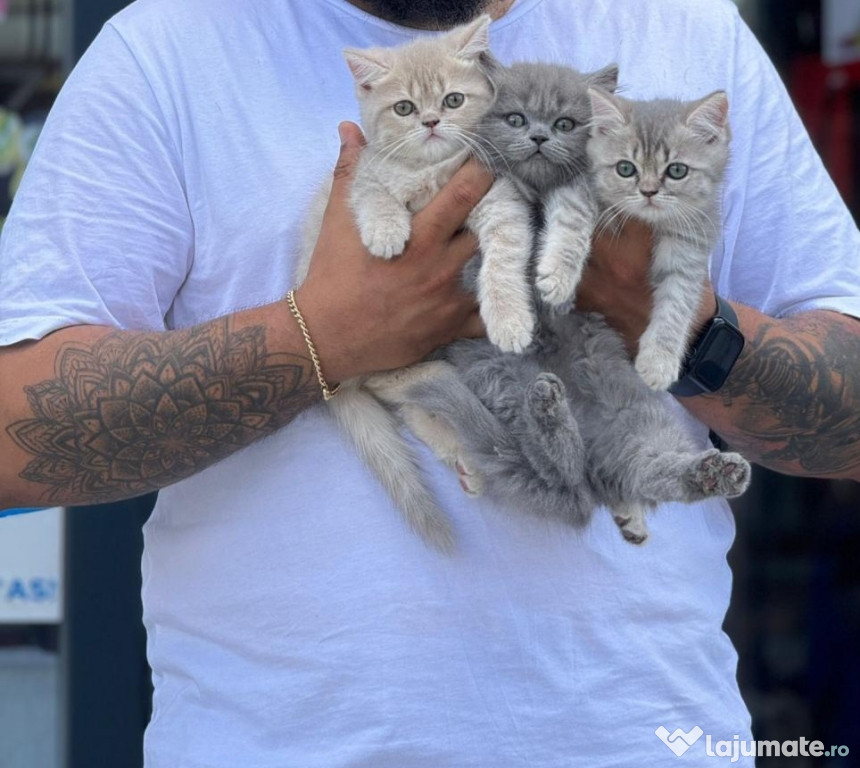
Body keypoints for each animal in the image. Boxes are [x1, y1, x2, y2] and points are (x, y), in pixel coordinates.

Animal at [296, 15, 536, 548]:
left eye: (453, 100)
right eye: (404, 107)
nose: (429, 122)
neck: (433, 173)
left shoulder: (500, 200)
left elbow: (505, 256)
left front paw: (509, 319)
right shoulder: (362, 178)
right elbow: (374, 196)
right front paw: (386, 232)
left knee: (410, 397)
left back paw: (465, 458)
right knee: (397, 386)